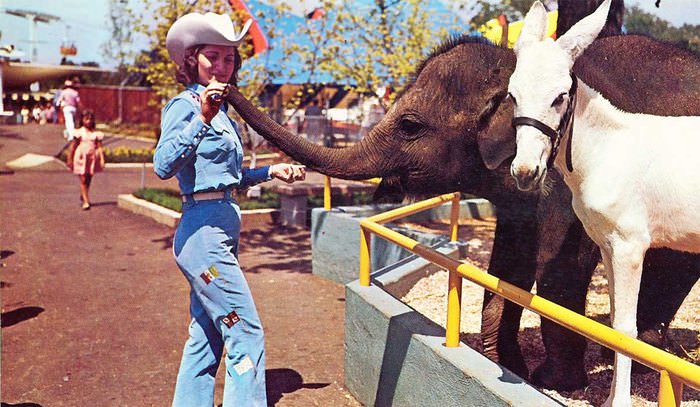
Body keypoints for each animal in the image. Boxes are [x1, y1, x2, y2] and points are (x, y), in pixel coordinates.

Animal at [226, 35, 700, 392]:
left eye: (410, 126)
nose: (225, 82)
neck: (514, 64)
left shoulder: (568, 183)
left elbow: (558, 267)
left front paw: (553, 383)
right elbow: (508, 263)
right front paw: (502, 364)